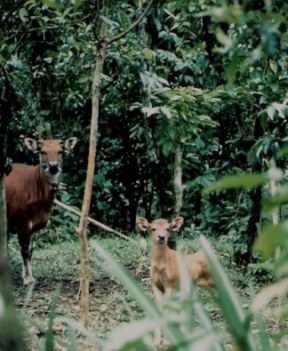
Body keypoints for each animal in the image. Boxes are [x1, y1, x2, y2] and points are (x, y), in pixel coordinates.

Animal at [4, 138, 76, 286]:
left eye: (60, 151)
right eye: (43, 151)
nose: (53, 166)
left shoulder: (35, 226)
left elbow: (31, 251)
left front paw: (30, 276)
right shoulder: (22, 224)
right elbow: (24, 250)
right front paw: (27, 279)